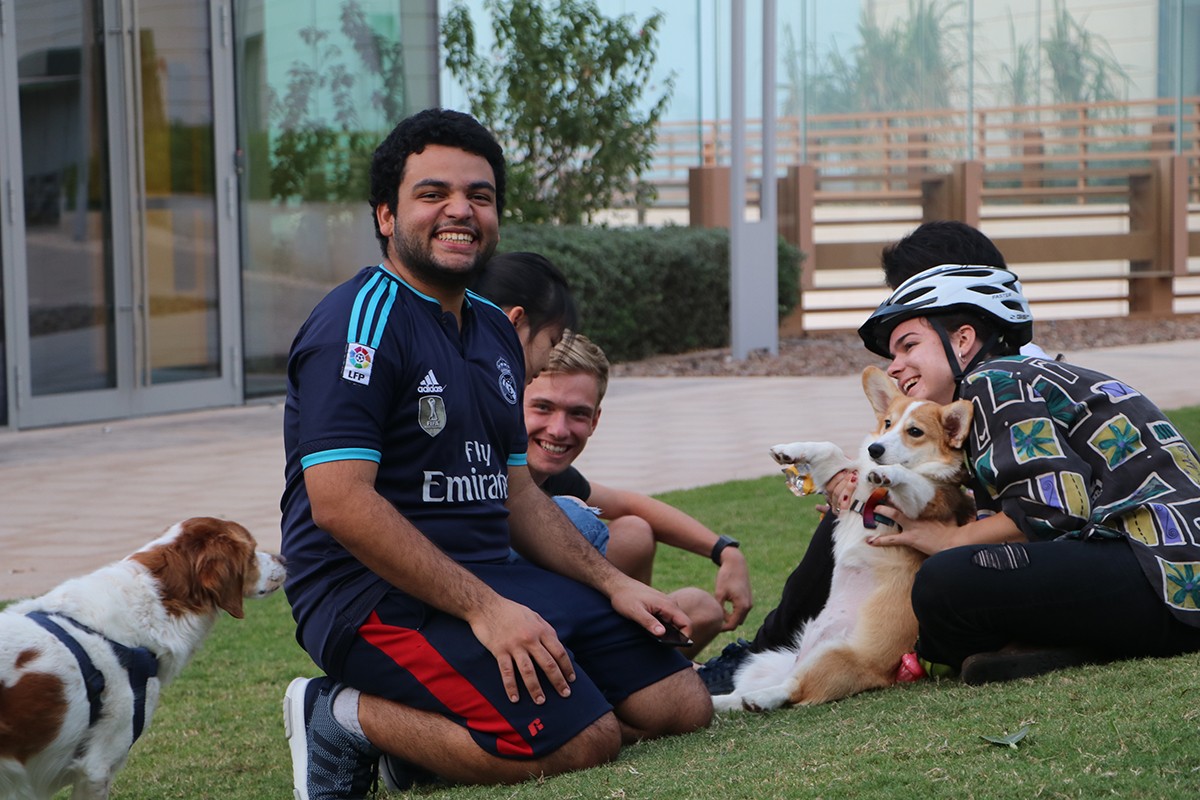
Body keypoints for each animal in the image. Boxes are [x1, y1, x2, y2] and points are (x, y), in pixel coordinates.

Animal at [710, 369, 974, 714]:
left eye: (914, 431)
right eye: (887, 423)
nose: (876, 449)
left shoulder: (922, 504)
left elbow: (912, 480)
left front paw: (890, 473)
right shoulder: (846, 475)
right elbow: (830, 449)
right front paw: (789, 450)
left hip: (833, 658)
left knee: (793, 691)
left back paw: (760, 699)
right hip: (764, 663)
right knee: (745, 694)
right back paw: (718, 701)